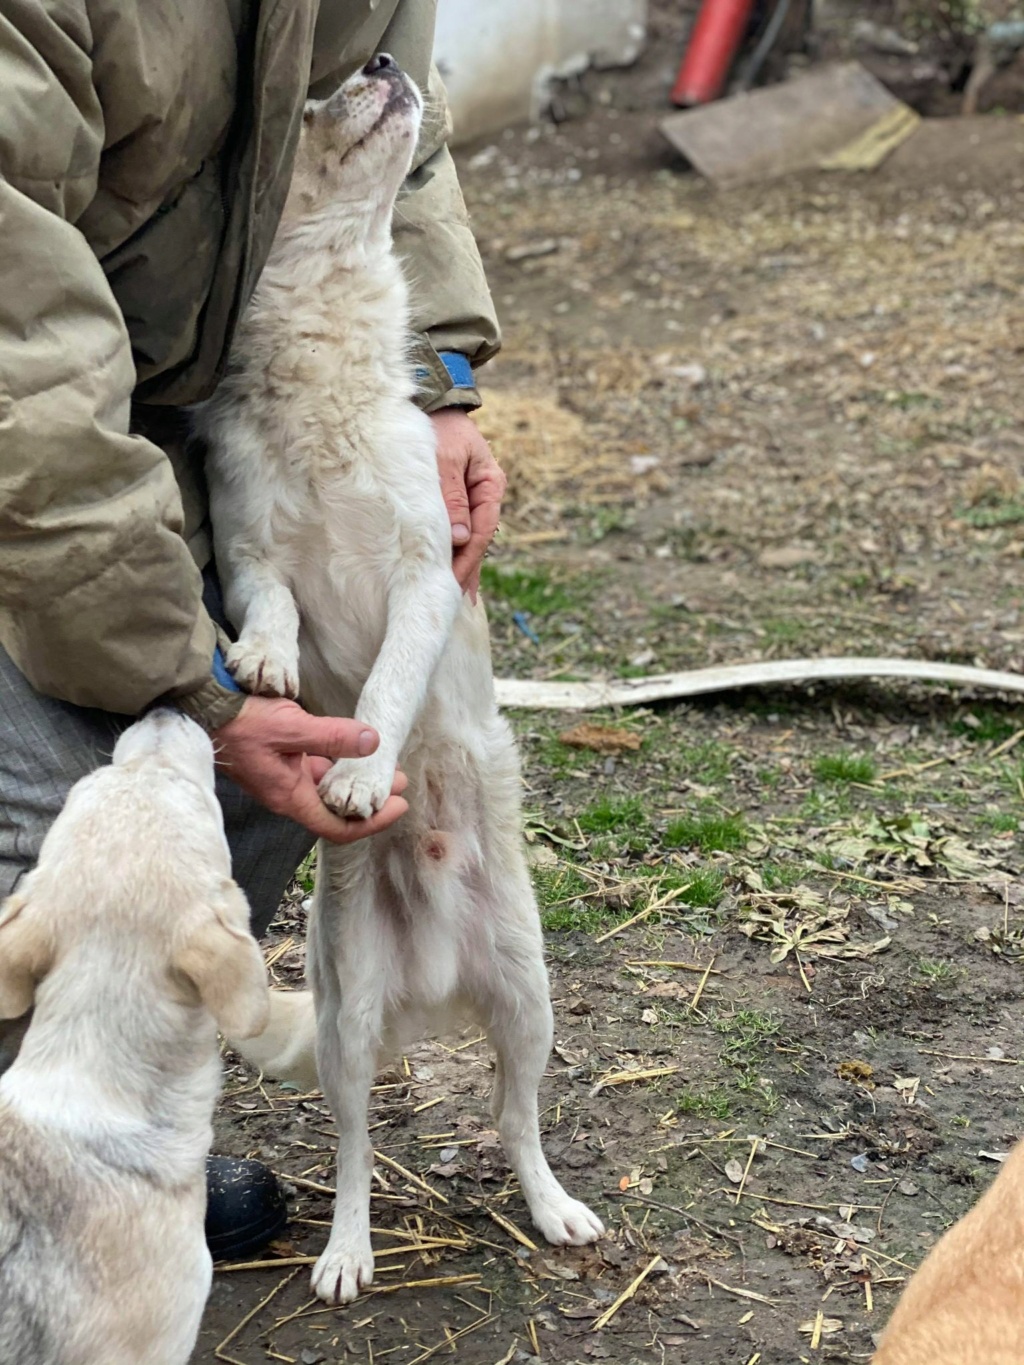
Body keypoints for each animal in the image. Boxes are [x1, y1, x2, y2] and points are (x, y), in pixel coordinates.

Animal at [196, 55, 606, 1310]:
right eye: (315, 94)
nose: (382, 60)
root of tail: (434, 979)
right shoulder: (250, 555)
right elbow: (274, 608)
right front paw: (271, 662)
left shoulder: (429, 578)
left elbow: (382, 692)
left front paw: (355, 774)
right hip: (347, 1029)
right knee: (353, 1151)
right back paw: (345, 1254)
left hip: (527, 999)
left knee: (519, 1124)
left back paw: (555, 1210)